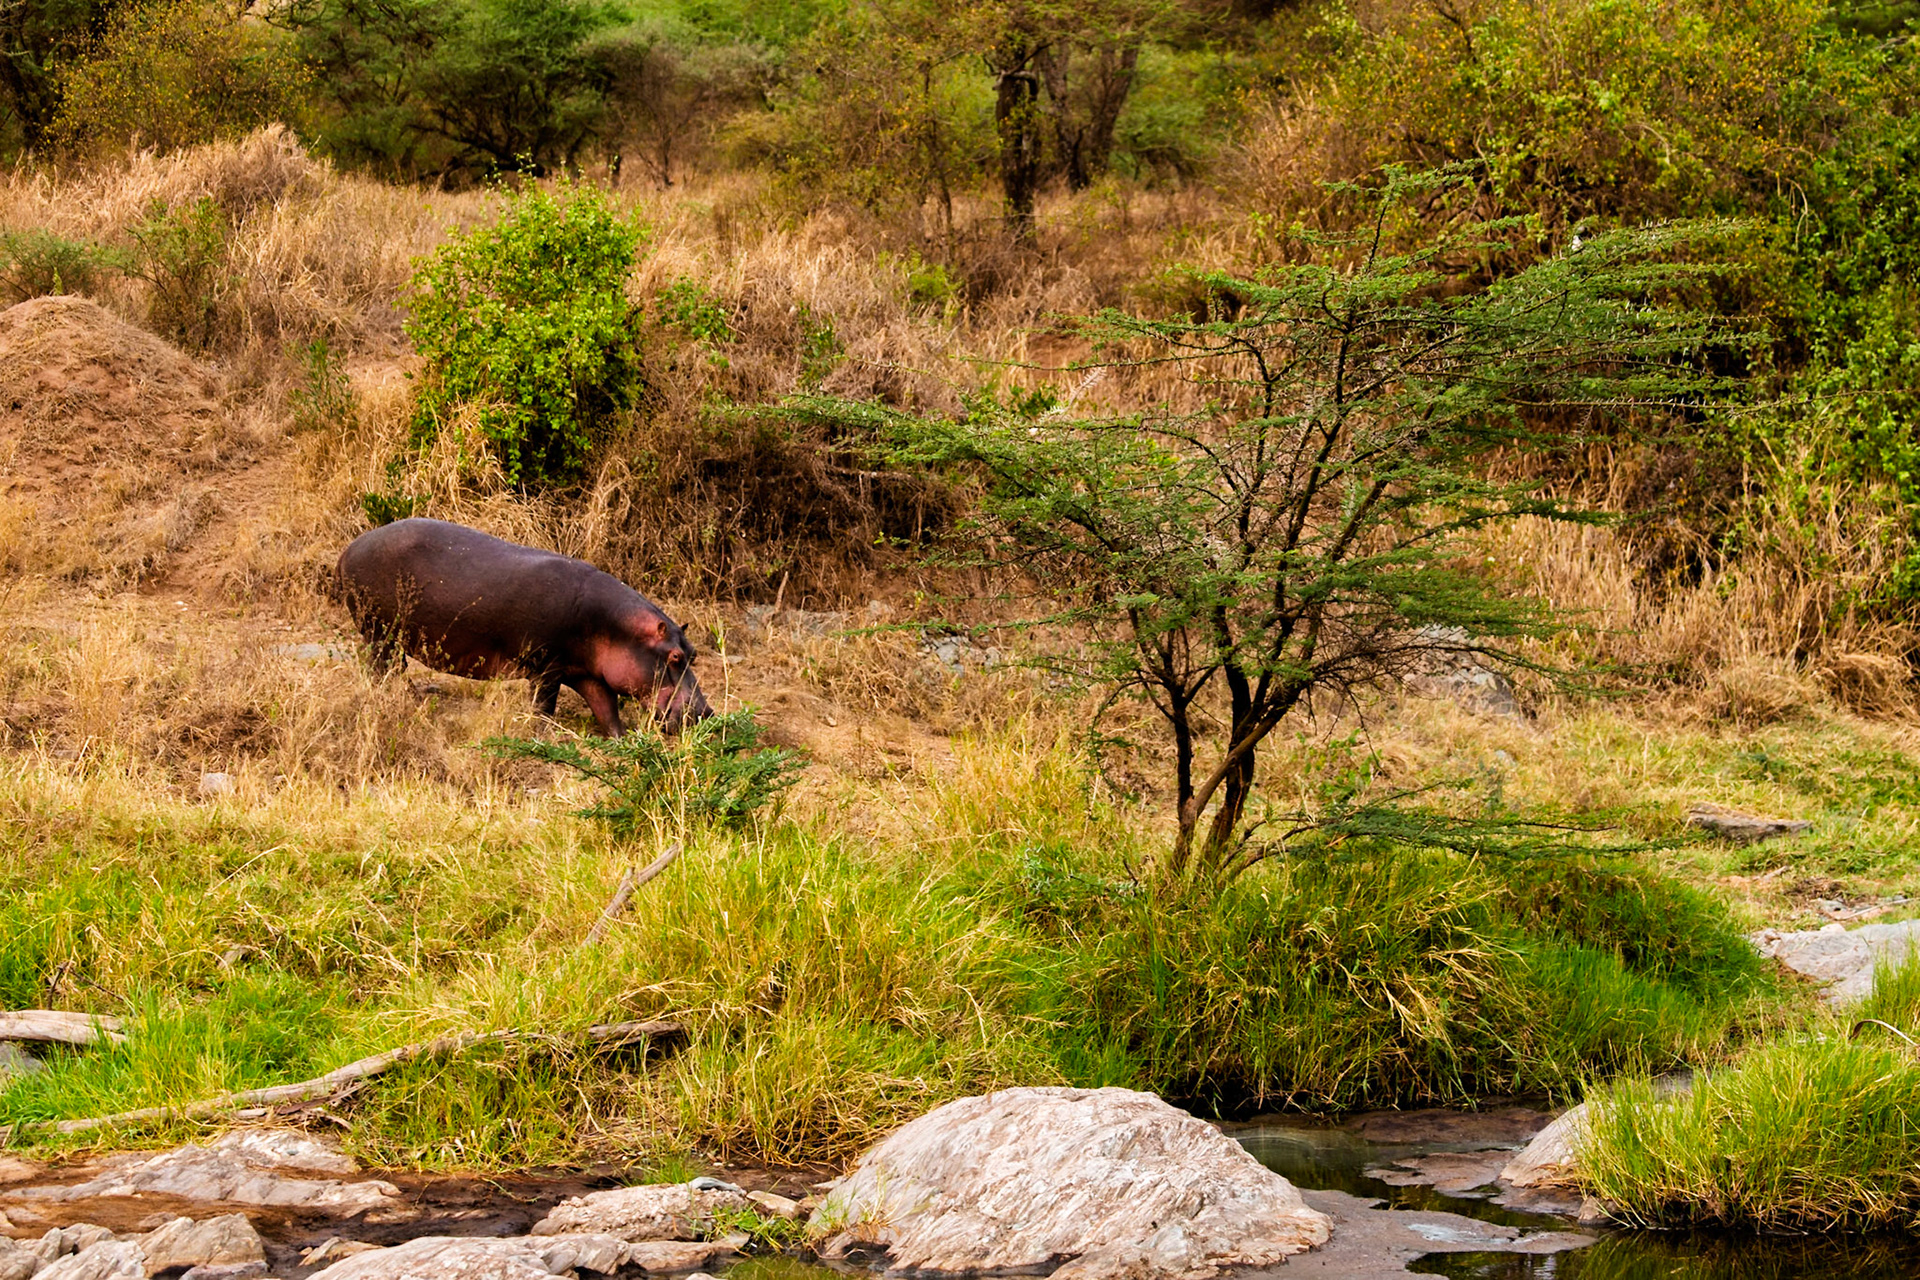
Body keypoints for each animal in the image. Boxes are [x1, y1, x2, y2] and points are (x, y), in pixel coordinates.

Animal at [336, 518, 711, 736]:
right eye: (675, 657)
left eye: (693, 653)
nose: (705, 712)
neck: (618, 628)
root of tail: (349, 548)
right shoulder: (546, 668)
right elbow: (544, 706)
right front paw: (539, 735)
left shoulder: (587, 673)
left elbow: (607, 710)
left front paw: (624, 740)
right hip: (379, 632)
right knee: (382, 669)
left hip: (389, 636)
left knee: (393, 668)